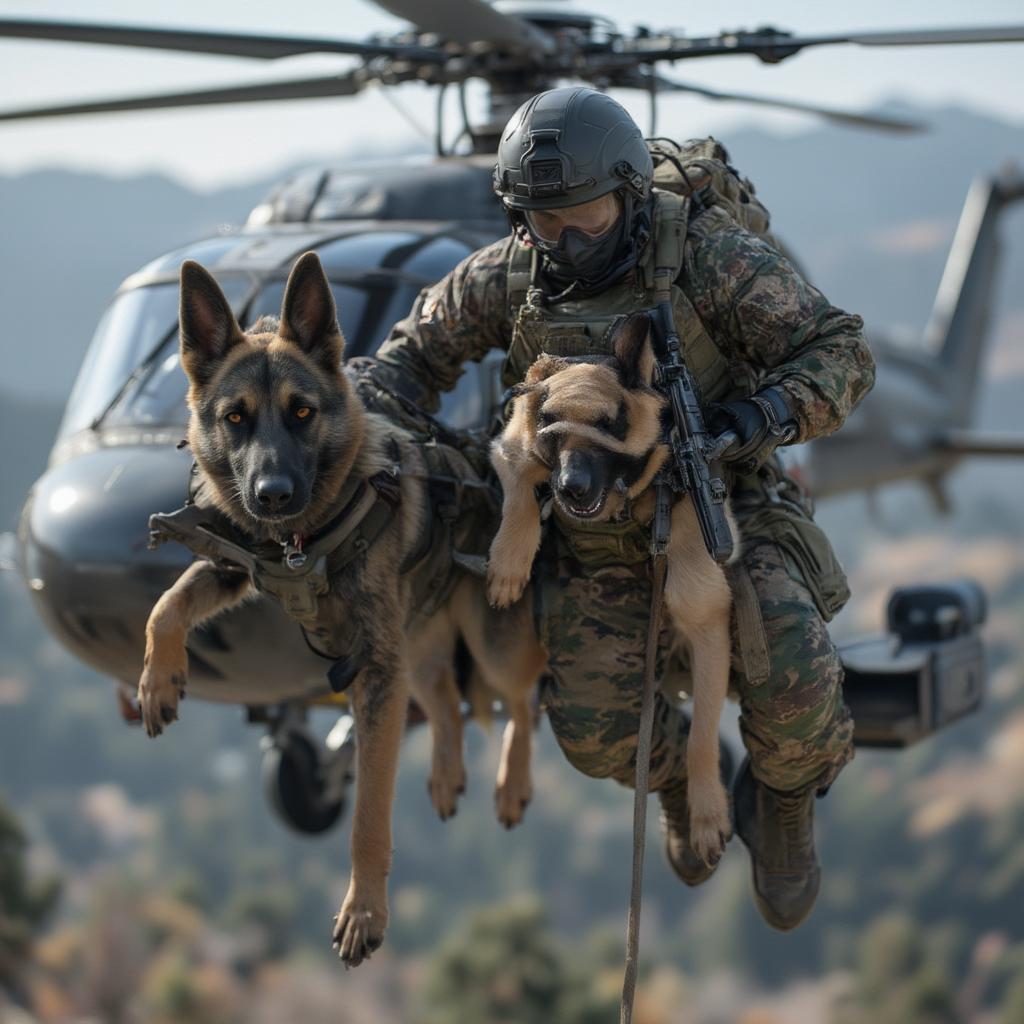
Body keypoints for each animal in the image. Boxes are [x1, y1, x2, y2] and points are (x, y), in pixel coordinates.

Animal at [142, 251, 552, 962]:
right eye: (235, 418)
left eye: (302, 412)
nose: (273, 495)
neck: (302, 543)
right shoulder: (234, 567)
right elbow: (166, 604)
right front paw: (158, 680)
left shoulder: (377, 678)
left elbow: (369, 813)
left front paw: (364, 911)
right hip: (419, 645)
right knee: (444, 701)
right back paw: (447, 772)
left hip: (487, 647)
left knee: (519, 704)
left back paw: (511, 783)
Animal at [483, 311, 733, 864]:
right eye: (551, 425)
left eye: (609, 425)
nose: (570, 488)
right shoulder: (511, 443)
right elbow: (519, 480)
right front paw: (510, 559)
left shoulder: (706, 616)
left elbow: (702, 734)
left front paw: (707, 812)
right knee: (524, 704)